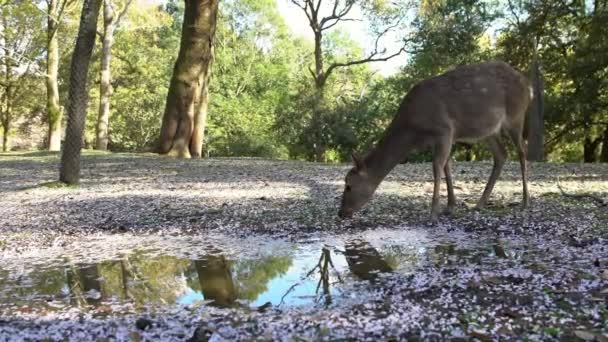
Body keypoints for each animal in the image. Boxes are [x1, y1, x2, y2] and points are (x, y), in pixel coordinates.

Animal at [340, 61, 536, 222]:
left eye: (349, 185)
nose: (340, 213)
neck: (413, 132)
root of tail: (529, 87)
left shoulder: (444, 130)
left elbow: (437, 167)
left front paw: (433, 213)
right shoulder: (441, 138)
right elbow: (446, 166)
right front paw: (449, 207)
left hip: (516, 116)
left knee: (522, 151)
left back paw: (525, 201)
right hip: (489, 131)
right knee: (501, 154)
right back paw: (479, 204)